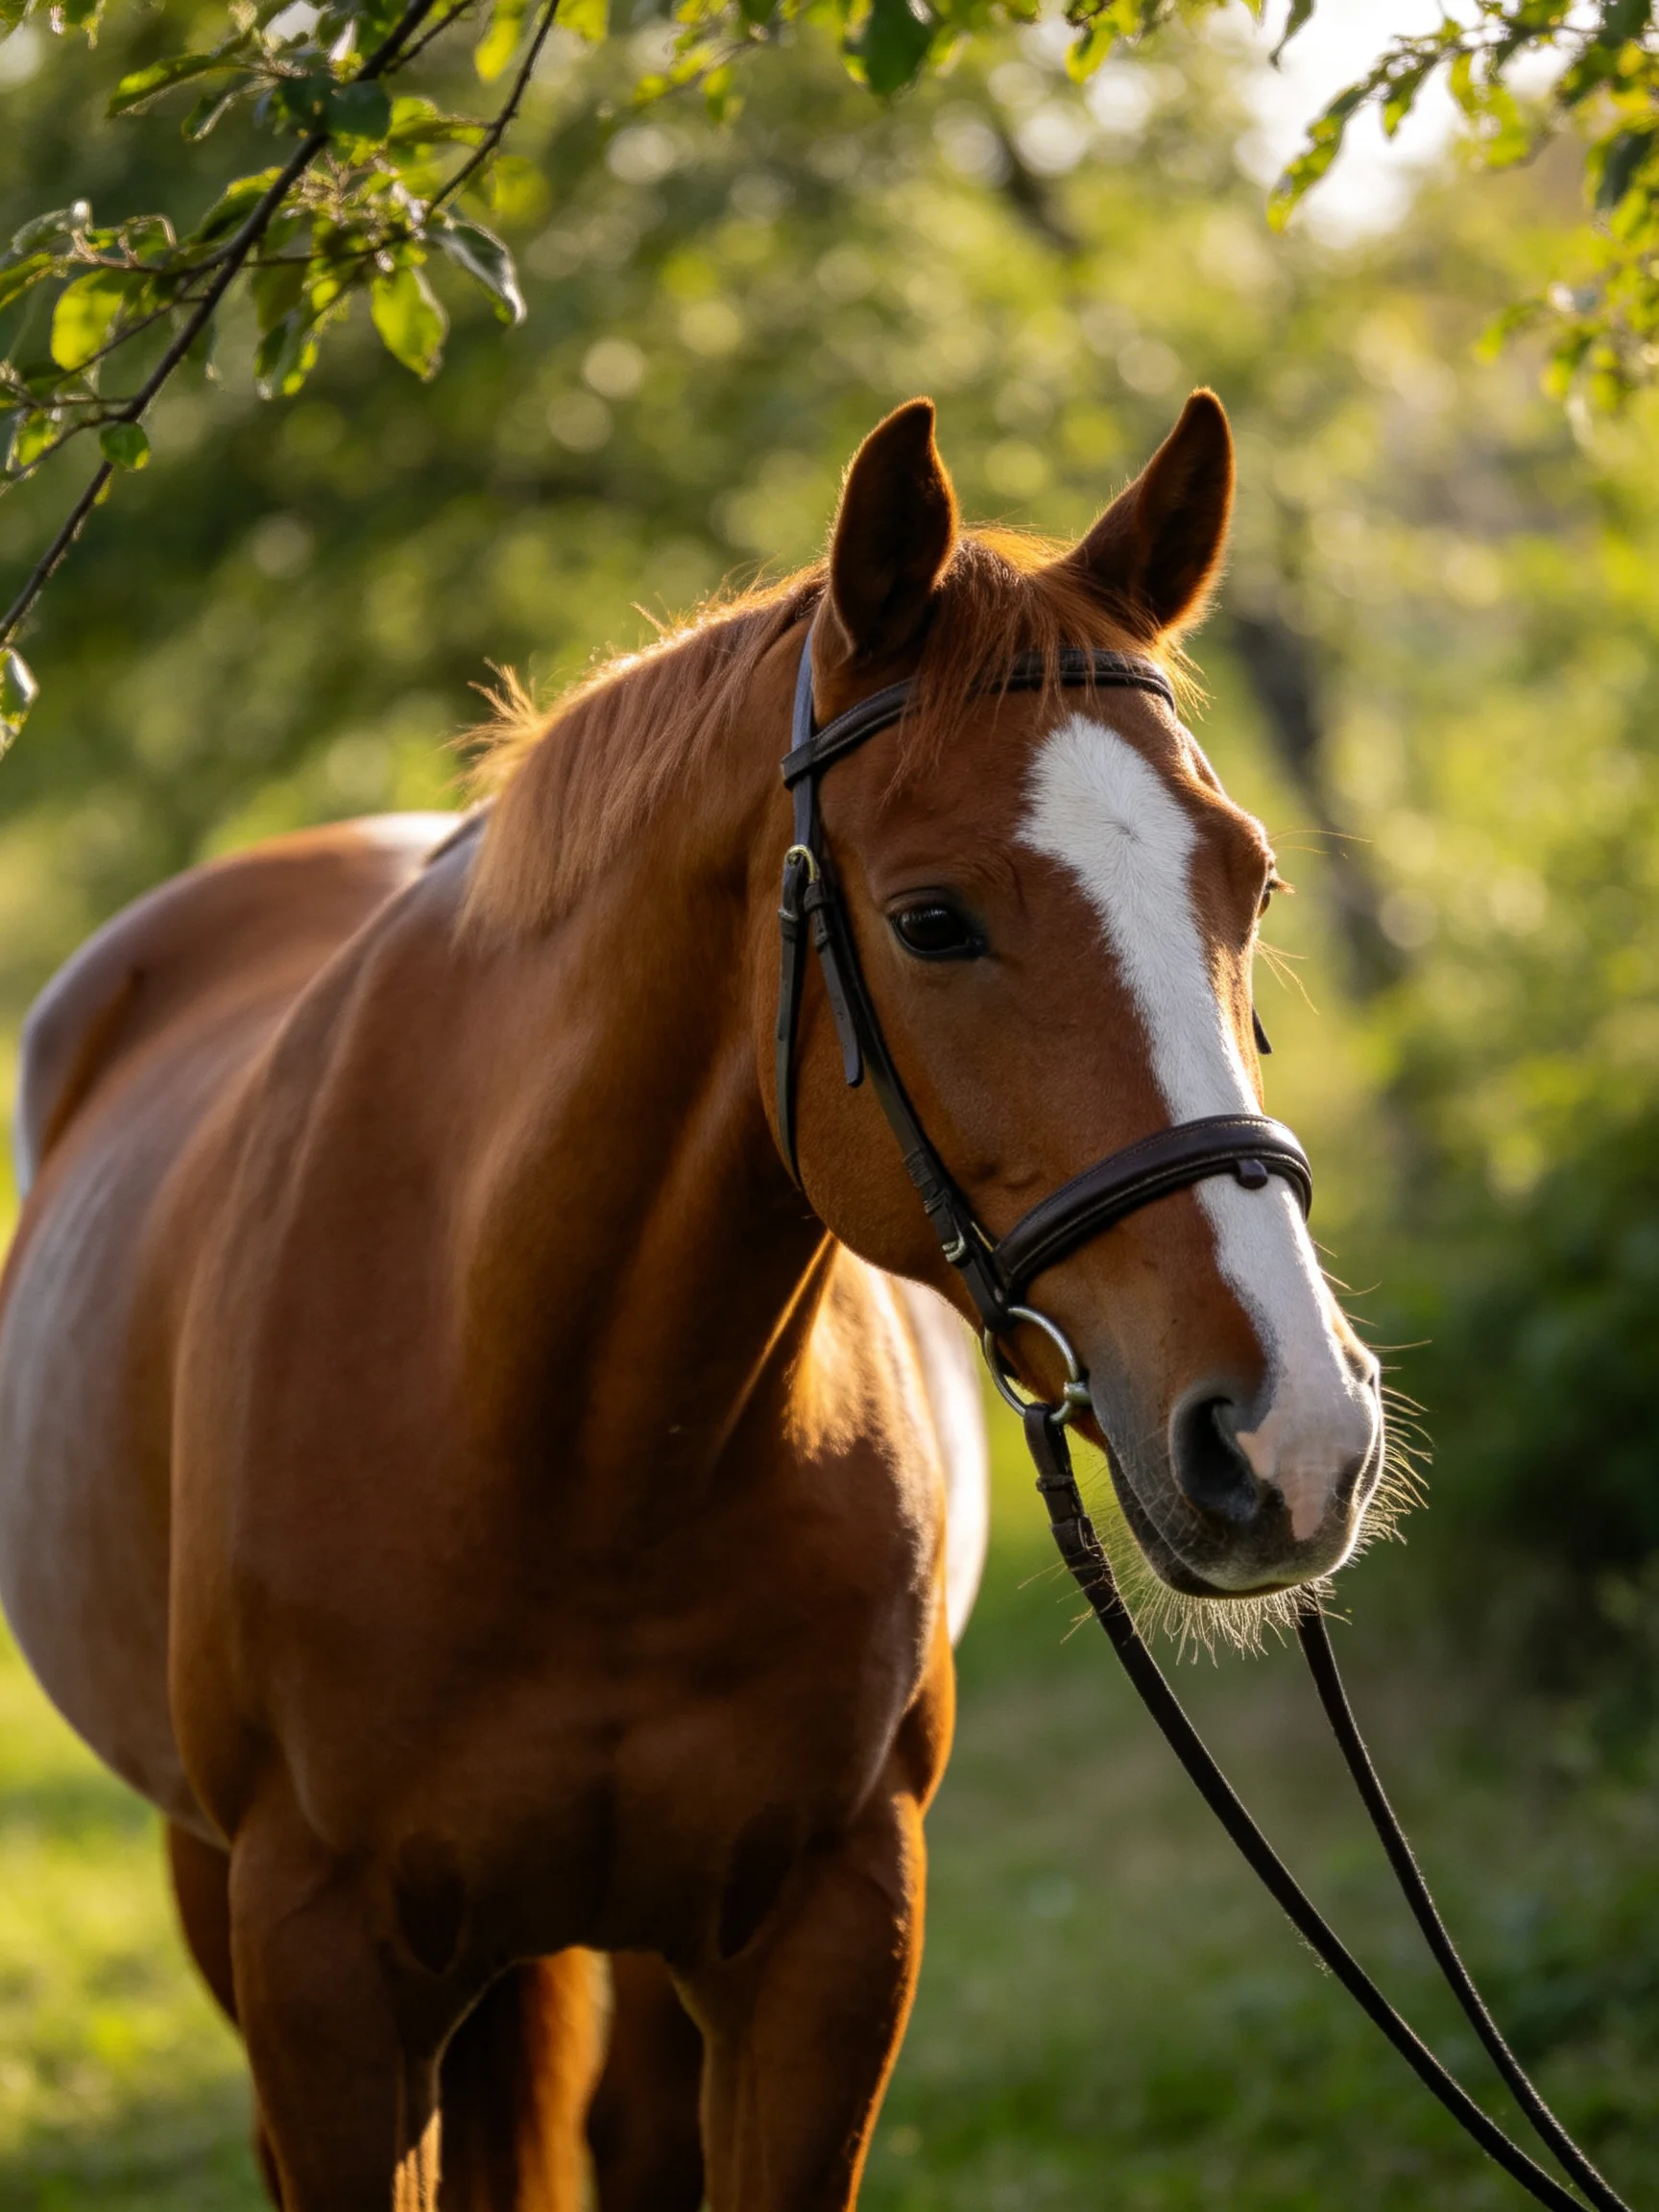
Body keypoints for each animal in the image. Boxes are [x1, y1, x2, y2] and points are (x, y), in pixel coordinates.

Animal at [0, 387, 1382, 2212]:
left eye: (1251, 886)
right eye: (931, 919)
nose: (1293, 1434)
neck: (562, 1432)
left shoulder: (827, 1939)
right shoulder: (318, 1970)